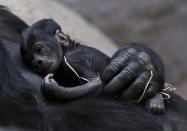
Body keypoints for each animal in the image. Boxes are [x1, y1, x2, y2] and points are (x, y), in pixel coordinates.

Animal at [20, 19, 165, 113]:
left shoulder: (72, 62)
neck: (68, 49)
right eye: (30, 59)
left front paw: (51, 87)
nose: (37, 62)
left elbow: (96, 83)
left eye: (40, 50)